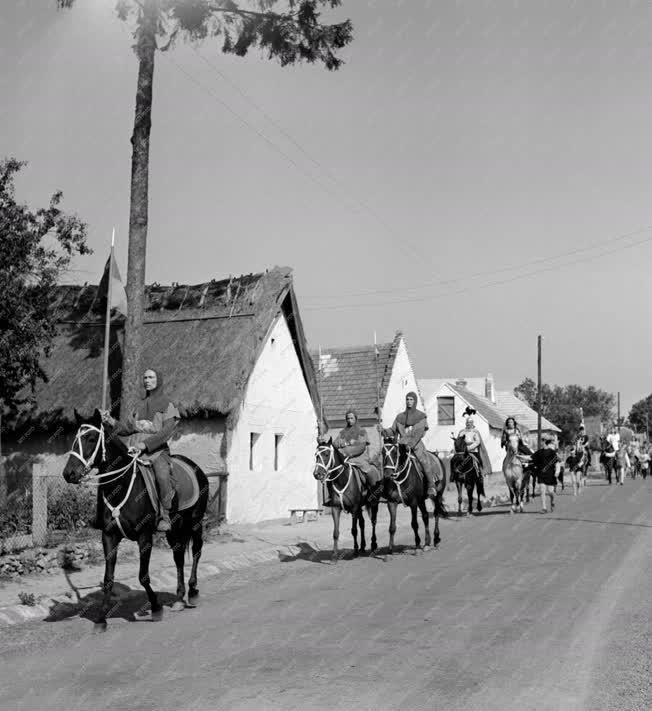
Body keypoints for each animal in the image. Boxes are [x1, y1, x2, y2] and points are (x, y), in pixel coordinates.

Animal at [61, 408, 209, 632]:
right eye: (74, 439)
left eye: (91, 438)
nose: (68, 474)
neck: (121, 487)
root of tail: (195, 467)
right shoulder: (109, 536)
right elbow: (108, 579)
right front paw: (101, 619)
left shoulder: (144, 536)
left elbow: (143, 575)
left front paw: (156, 608)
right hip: (174, 529)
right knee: (179, 557)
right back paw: (179, 598)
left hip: (195, 522)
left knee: (197, 551)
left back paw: (192, 592)